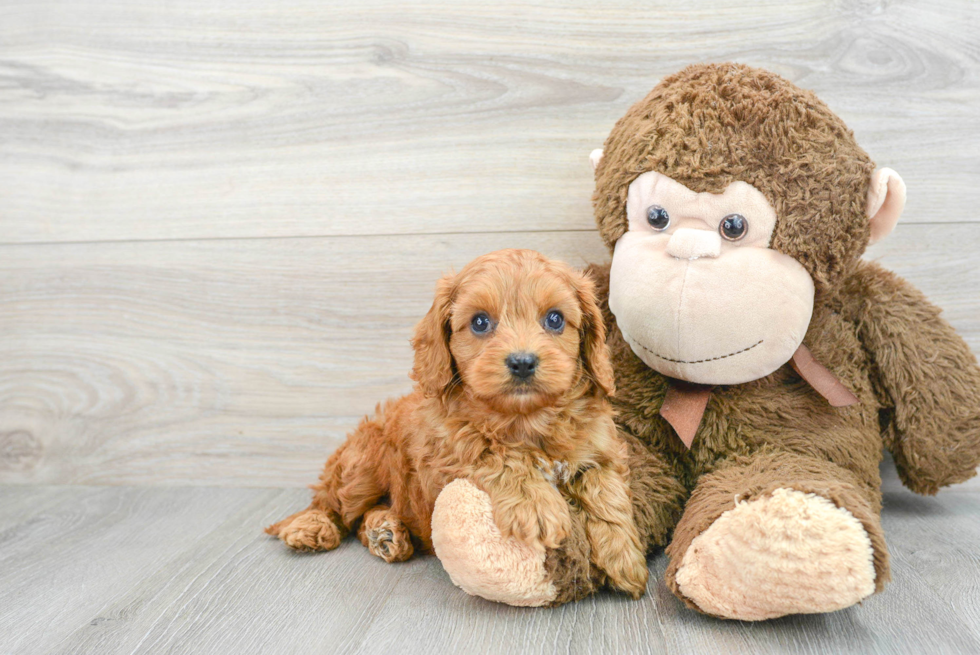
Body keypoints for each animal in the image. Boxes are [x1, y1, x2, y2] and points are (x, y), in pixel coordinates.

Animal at [268, 249, 652, 596]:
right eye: (480, 322)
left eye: (555, 320)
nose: (523, 362)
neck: (526, 418)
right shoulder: (447, 449)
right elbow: (497, 454)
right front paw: (537, 505)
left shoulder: (601, 449)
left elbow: (606, 492)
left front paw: (624, 557)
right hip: (361, 465)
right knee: (331, 503)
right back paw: (311, 527)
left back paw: (386, 532)